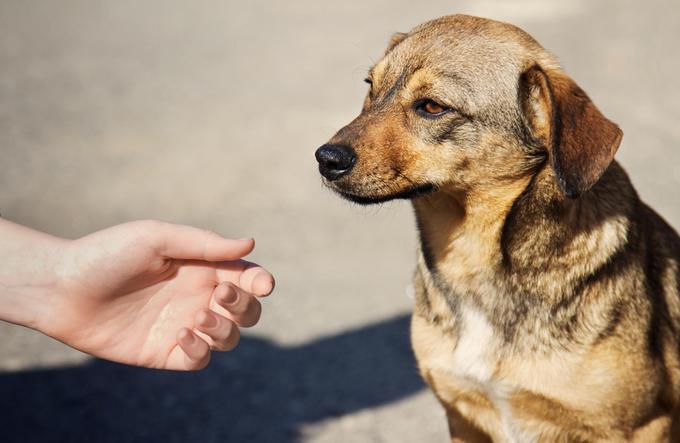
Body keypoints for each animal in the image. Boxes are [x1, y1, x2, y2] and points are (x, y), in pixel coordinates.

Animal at [316, 13, 680, 443]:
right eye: (371, 87)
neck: (474, 260)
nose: (325, 158)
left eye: (432, 106)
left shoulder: (643, 426)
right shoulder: (463, 415)